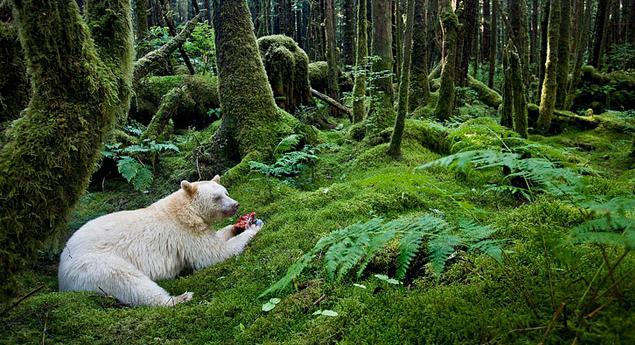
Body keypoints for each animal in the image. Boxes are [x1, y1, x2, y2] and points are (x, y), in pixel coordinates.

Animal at [57, 176, 260, 306]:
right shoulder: (184, 233)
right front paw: (254, 227)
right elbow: (212, 254)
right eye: (217, 197)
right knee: (128, 281)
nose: (235, 205)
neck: (185, 210)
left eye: (226, 192)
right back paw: (179, 298)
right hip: (94, 265)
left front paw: (239, 225)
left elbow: (217, 238)